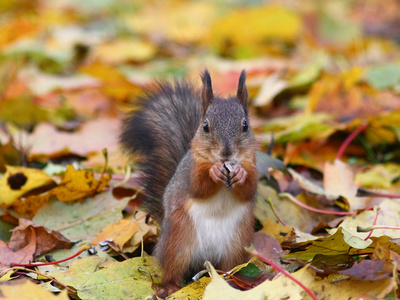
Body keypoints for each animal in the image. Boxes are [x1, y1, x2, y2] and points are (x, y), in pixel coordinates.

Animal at [120, 69, 258, 298]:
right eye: (205, 127)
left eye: (245, 126)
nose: (226, 152)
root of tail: (205, 260)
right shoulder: (190, 172)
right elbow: (199, 186)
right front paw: (213, 172)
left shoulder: (254, 166)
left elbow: (249, 189)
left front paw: (239, 174)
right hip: (179, 239)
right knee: (172, 269)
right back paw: (170, 287)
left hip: (236, 244)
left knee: (229, 266)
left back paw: (231, 282)